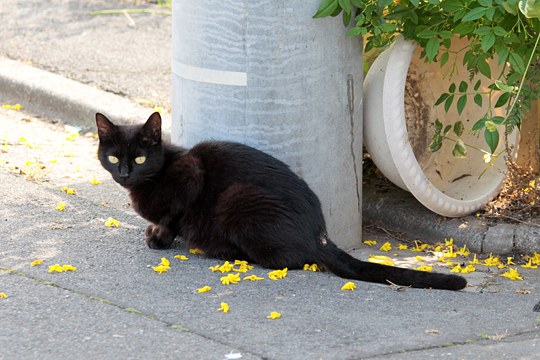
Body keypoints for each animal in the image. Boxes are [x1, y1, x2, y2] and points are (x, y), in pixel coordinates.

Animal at [95, 112, 466, 290]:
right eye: (113, 158)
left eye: (140, 159)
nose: (125, 173)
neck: (158, 172)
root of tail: (319, 235)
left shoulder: (191, 175)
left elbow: (172, 216)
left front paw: (158, 237)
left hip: (238, 198)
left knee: (289, 260)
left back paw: (220, 249)